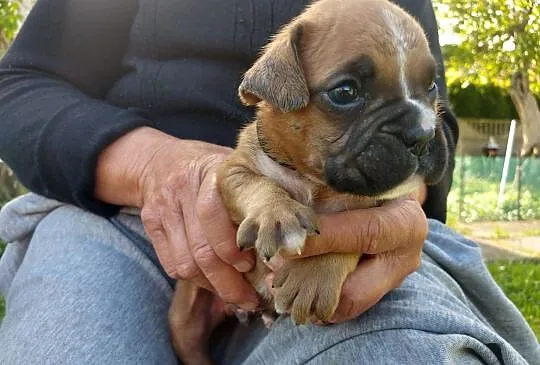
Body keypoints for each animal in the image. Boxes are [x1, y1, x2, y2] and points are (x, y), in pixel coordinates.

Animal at [169, 0, 448, 362]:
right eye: (345, 92)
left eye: (431, 86)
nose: (423, 134)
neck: (315, 181)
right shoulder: (233, 172)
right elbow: (260, 186)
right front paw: (276, 215)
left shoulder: (378, 205)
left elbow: (354, 230)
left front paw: (314, 276)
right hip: (184, 322)